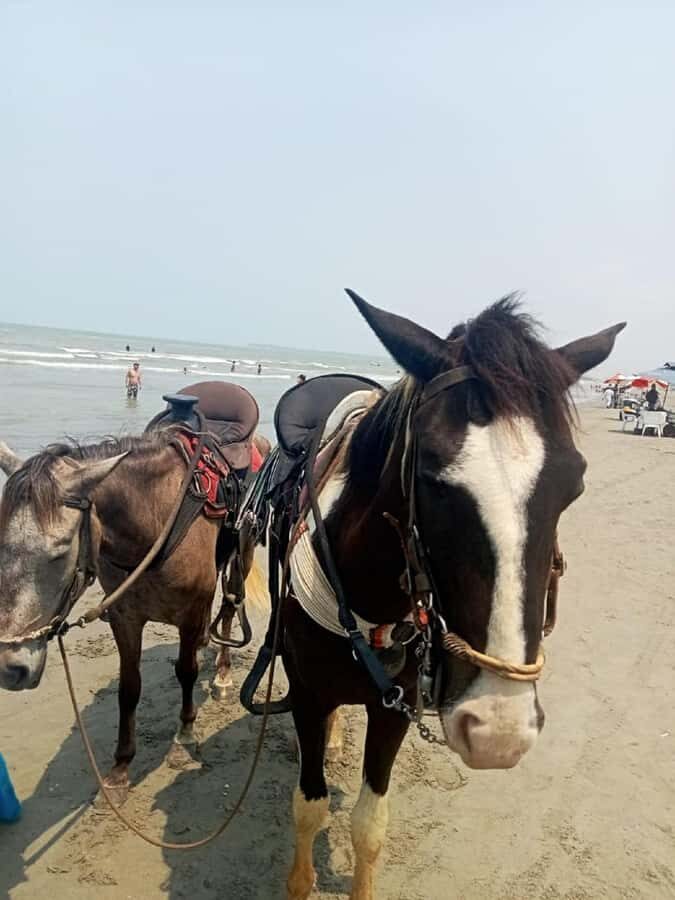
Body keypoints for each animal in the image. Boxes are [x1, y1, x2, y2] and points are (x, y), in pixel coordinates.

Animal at [0, 425, 265, 804]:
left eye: (60, 552)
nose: (10, 669)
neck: (154, 521)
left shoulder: (188, 614)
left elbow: (186, 672)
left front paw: (184, 737)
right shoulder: (125, 617)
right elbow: (129, 689)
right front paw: (119, 770)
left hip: (242, 556)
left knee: (229, 608)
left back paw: (223, 675)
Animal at [279, 293, 625, 900]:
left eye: (574, 485)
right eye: (431, 479)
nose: (497, 730)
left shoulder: (393, 707)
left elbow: (369, 823)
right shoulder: (306, 693)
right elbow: (309, 809)